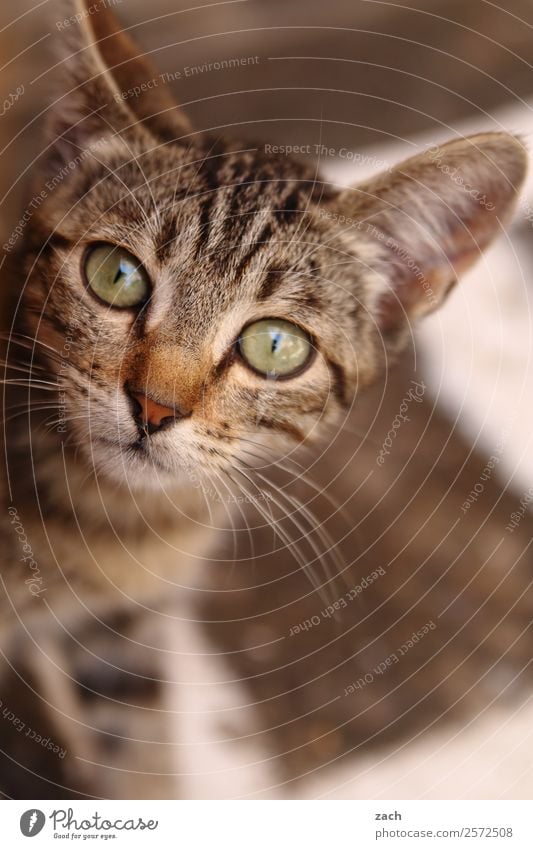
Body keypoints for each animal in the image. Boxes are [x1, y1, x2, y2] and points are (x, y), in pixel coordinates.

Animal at [0, 0, 528, 796]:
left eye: (274, 346)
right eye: (116, 275)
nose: (154, 407)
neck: (105, 521)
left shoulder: (120, 630)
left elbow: (139, 751)